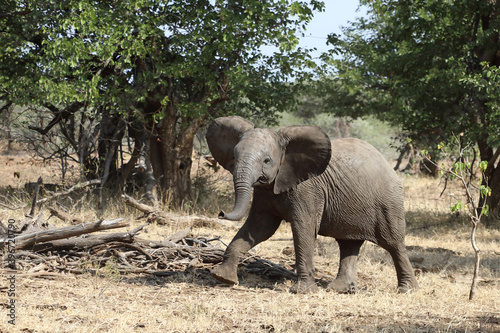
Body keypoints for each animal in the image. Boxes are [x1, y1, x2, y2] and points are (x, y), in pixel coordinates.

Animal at [204, 115, 418, 292]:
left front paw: (302, 291)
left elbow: (303, 228)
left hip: (388, 200)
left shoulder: (308, 189)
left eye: (266, 160)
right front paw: (223, 278)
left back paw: (407, 290)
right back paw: (339, 289)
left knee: (393, 243)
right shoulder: (265, 191)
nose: (221, 213)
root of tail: (387, 163)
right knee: (348, 243)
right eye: (234, 156)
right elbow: (259, 228)